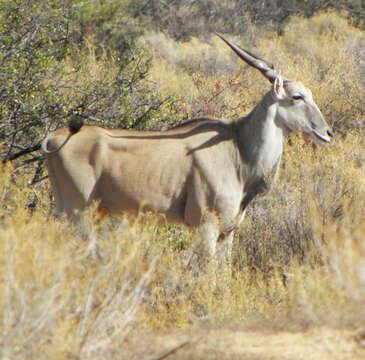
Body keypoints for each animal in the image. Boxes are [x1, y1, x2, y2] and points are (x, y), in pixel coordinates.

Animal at [41, 34, 332, 256]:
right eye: (297, 97)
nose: (327, 133)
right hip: (79, 214)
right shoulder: (206, 227)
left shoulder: (228, 233)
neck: (237, 149)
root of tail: (54, 138)